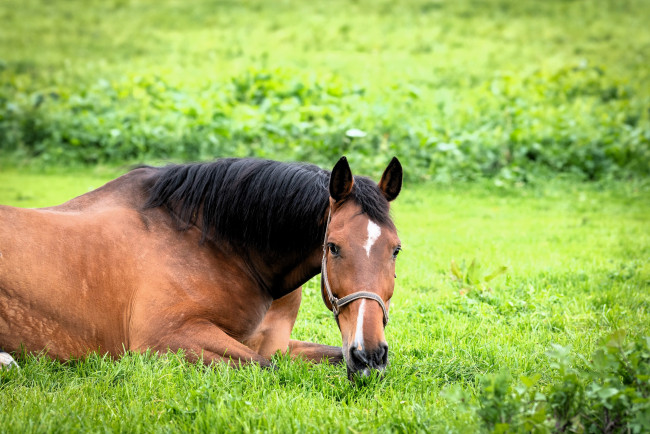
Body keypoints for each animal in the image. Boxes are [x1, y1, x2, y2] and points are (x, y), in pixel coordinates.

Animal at [0, 157, 400, 380]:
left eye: (395, 249)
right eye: (333, 247)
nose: (369, 356)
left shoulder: (276, 344)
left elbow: (321, 356)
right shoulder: (166, 340)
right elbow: (266, 368)